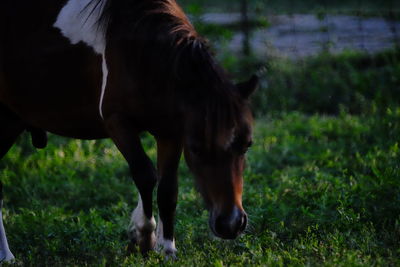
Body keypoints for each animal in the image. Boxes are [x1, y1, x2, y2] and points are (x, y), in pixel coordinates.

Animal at [0, 0, 258, 260]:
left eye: (247, 145)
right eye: (196, 149)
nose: (231, 224)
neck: (137, 53)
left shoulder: (170, 132)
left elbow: (168, 189)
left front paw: (168, 249)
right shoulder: (118, 123)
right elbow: (145, 174)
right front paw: (143, 236)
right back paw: (7, 256)